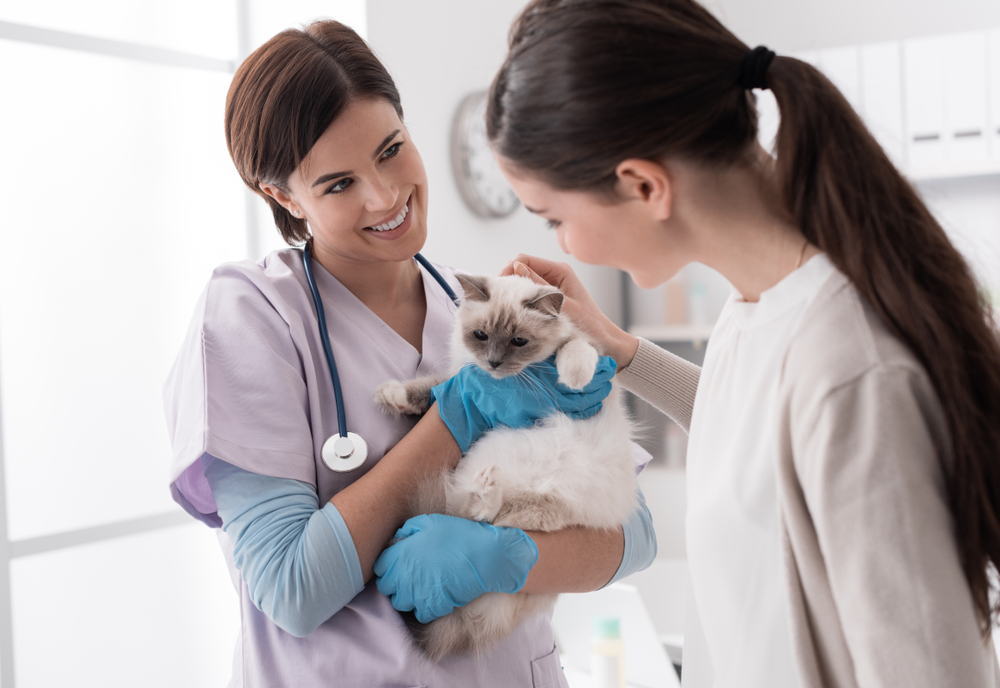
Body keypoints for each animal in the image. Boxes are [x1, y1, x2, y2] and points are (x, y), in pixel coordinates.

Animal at [372, 272, 636, 660]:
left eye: (519, 341)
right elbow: (432, 389)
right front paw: (393, 396)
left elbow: (575, 348)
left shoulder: (589, 345)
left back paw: (481, 501)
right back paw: (483, 493)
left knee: (488, 525)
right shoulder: (460, 376)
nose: (494, 364)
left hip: (546, 507)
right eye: (481, 335)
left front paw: (574, 380)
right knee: (474, 518)